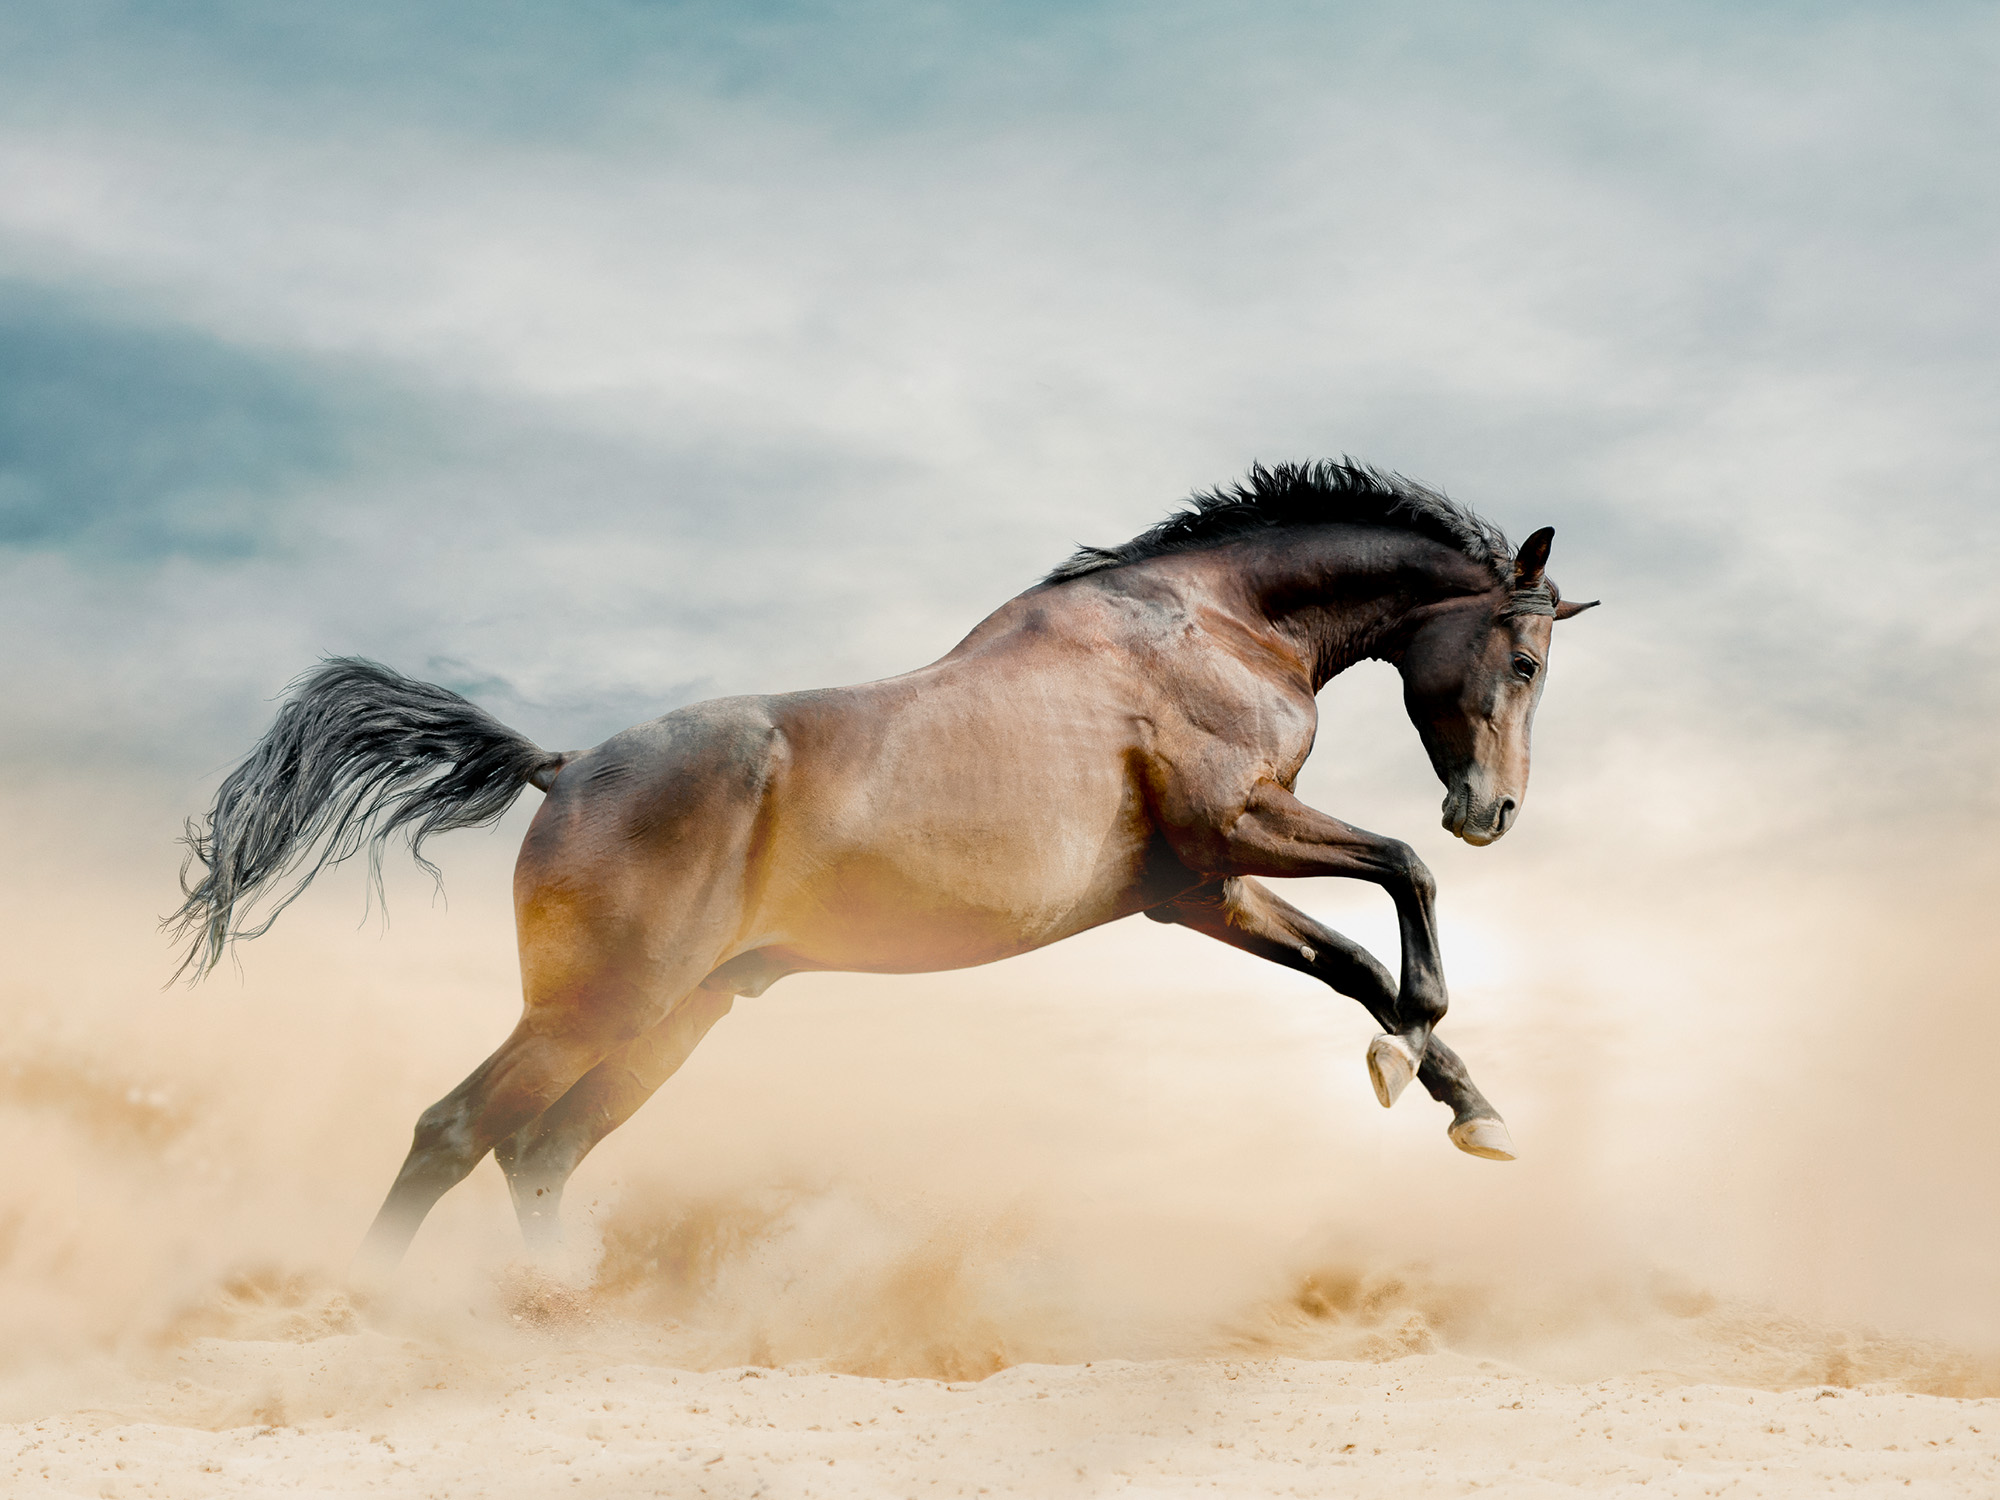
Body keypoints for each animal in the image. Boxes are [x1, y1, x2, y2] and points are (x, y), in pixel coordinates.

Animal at [169, 460, 1598, 1270]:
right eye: (1523, 659)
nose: (1492, 809)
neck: (1212, 623)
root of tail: (564, 768)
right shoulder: (1230, 832)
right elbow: (1402, 882)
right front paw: (1418, 1060)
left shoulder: (1193, 891)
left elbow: (1355, 959)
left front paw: (1464, 1105)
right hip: (600, 1003)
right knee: (457, 1129)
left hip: (674, 1017)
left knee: (543, 1152)